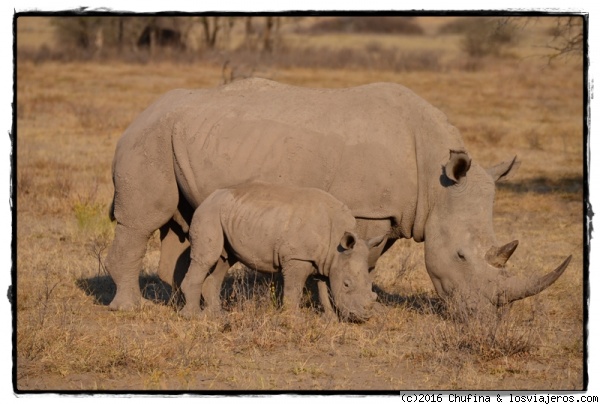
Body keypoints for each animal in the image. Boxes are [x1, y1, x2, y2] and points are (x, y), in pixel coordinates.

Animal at [179, 184, 384, 322]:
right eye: (347, 284)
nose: (364, 317)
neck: (337, 243)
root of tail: (207, 198)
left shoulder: (326, 261)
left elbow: (324, 290)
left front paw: (331, 319)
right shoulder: (298, 257)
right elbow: (295, 290)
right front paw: (295, 319)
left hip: (227, 215)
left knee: (224, 261)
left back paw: (217, 316)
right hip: (208, 214)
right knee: (207, 259)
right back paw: (193, 317)